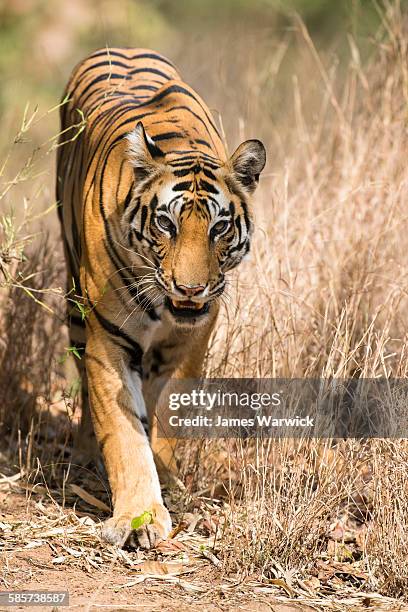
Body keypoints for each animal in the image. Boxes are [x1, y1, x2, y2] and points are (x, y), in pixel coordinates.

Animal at [56, 45, 264, 548]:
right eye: (166, 224)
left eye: (219, 227)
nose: (190, 289)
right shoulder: (108, 339)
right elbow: (123, 431)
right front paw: (139, 517)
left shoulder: (191, 339)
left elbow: (169, 407)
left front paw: (168, 481)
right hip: (75, 307)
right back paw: (85, 460)